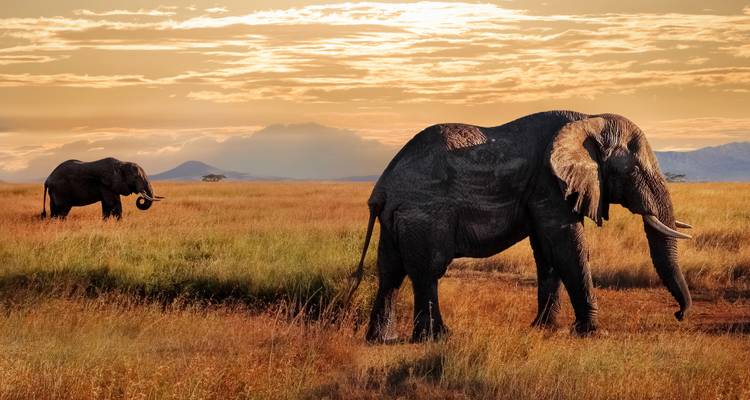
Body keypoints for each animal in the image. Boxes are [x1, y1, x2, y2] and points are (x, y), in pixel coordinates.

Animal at [346, 110, 693, 342]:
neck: (587, 120)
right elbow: (567, 247)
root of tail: (382, 188)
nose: (679, 315)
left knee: (390, 273)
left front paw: (543, 329)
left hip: (396, 220)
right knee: (427, 271)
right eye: (631, 171)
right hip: (424, 215)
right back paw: (438, 338)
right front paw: (594, 333)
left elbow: (548, 253)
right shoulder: (548, 185)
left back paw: (382, 340)